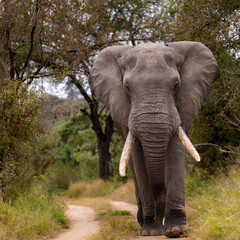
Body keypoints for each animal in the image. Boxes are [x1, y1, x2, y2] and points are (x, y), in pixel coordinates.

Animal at [89, 41, 219, 238]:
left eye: (176, 84)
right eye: (127, 87)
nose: (159, 222)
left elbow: (174, 152)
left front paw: (175, 230)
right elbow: (139, 160)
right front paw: (150, 230)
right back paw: (143, 221)